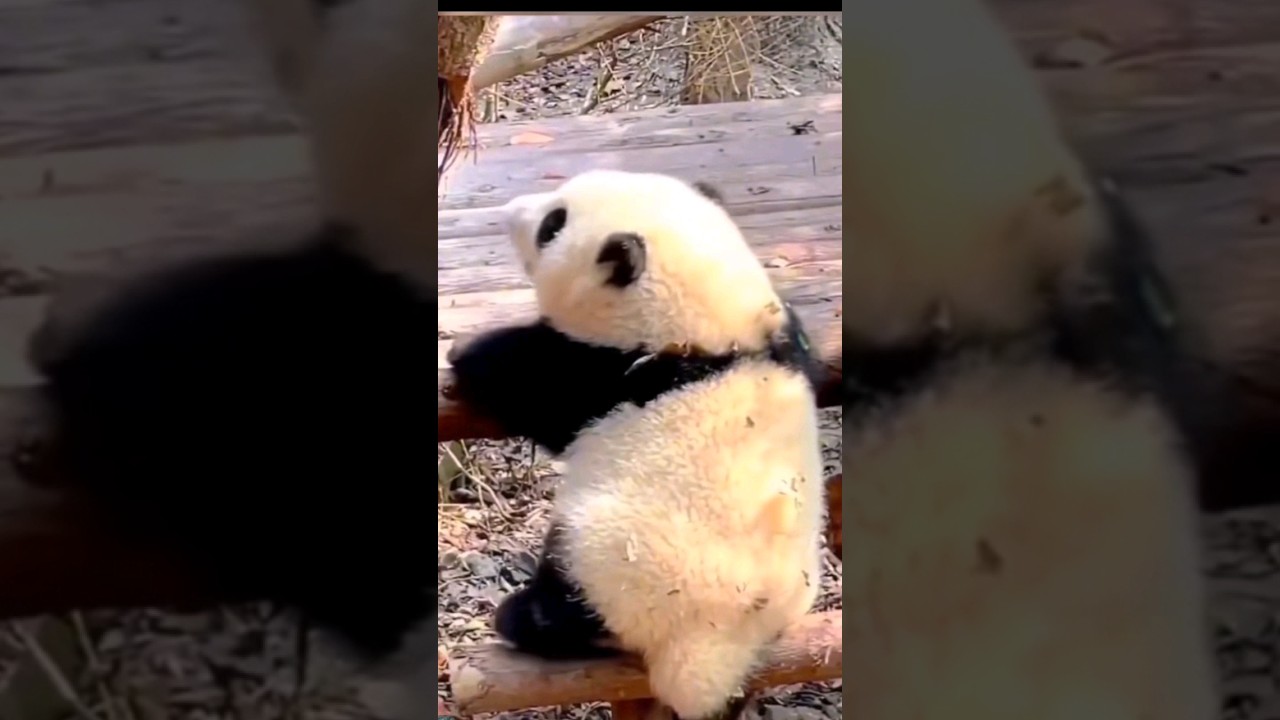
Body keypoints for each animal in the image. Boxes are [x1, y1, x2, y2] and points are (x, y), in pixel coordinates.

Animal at [446, 169, 829, 720]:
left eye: (552, 224)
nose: (510, 211)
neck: (717, 332)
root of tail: (707, 664)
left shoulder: (614, 373)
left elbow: (533, 376)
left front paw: (466, 349)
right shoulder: (783, 341)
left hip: (622, 561)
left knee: (575, 594)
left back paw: (524, 617)